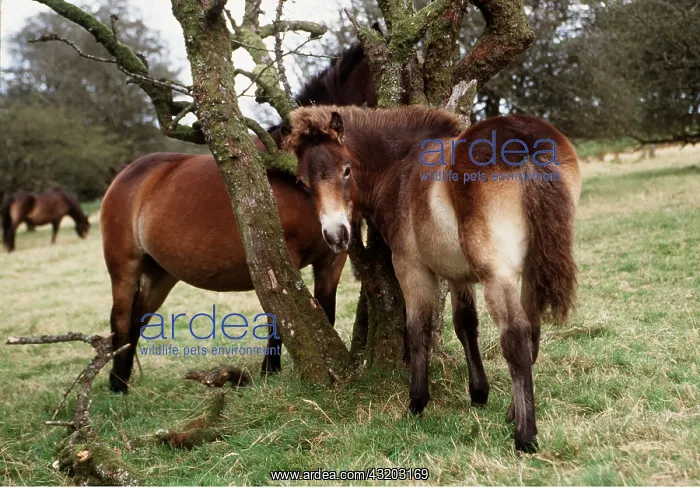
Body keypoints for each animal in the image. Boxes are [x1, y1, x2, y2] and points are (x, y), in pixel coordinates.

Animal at [103, 41, 375, 394]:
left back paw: (121, 382)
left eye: (346, 170)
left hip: (160, 273)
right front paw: (270, 372)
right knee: (122, 321)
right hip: (125, 267)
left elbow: (322, 314)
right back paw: (117, 388)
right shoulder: (280, 257)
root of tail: (126, 176)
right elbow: (282, 316)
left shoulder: (332, 259)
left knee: (138, 318)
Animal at [282, 105, 581, 452]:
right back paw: (512, 413)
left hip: (498, 273)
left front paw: (417, 402)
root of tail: (525, 142)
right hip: (531, 269)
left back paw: (525, 436)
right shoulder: (457, 275)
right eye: (303, 182)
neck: (401, 166)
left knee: (516, 337)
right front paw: (478, 393)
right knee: (532, 333)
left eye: (346, 170)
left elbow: (416, 329)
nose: (336, 235)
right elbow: (466, 325)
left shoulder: (410, 267)